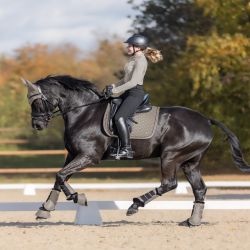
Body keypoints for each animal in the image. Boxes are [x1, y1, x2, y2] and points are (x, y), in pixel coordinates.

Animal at [22, 74, 249, 227]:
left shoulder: (89, 156)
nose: (37, 126)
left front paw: (79, 198)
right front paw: (45, 209)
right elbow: (59, 177)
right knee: (199, 188)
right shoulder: (72, 154)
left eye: (37, 101)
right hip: (190, 162)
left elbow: (61, 176)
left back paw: (135, 205)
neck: (84, 112)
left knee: (169, 183)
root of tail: (205, 120)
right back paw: (192, 221)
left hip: (171, 156)